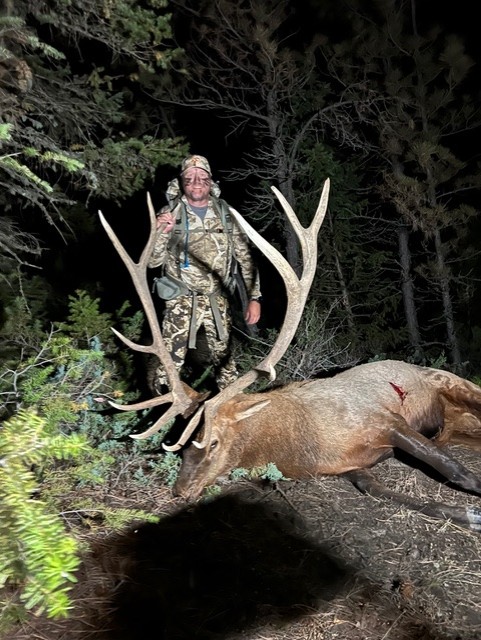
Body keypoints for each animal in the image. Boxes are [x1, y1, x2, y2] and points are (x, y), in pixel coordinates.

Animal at [99, 179, 481, 532]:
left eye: (213, 442)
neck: (302, 449)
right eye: (179, 446)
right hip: (456, 427)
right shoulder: (350, 467)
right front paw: (466, 514)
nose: (180, 491)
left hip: (457, 385)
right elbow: (386, 492)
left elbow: (454, 470)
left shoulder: (386, 420)